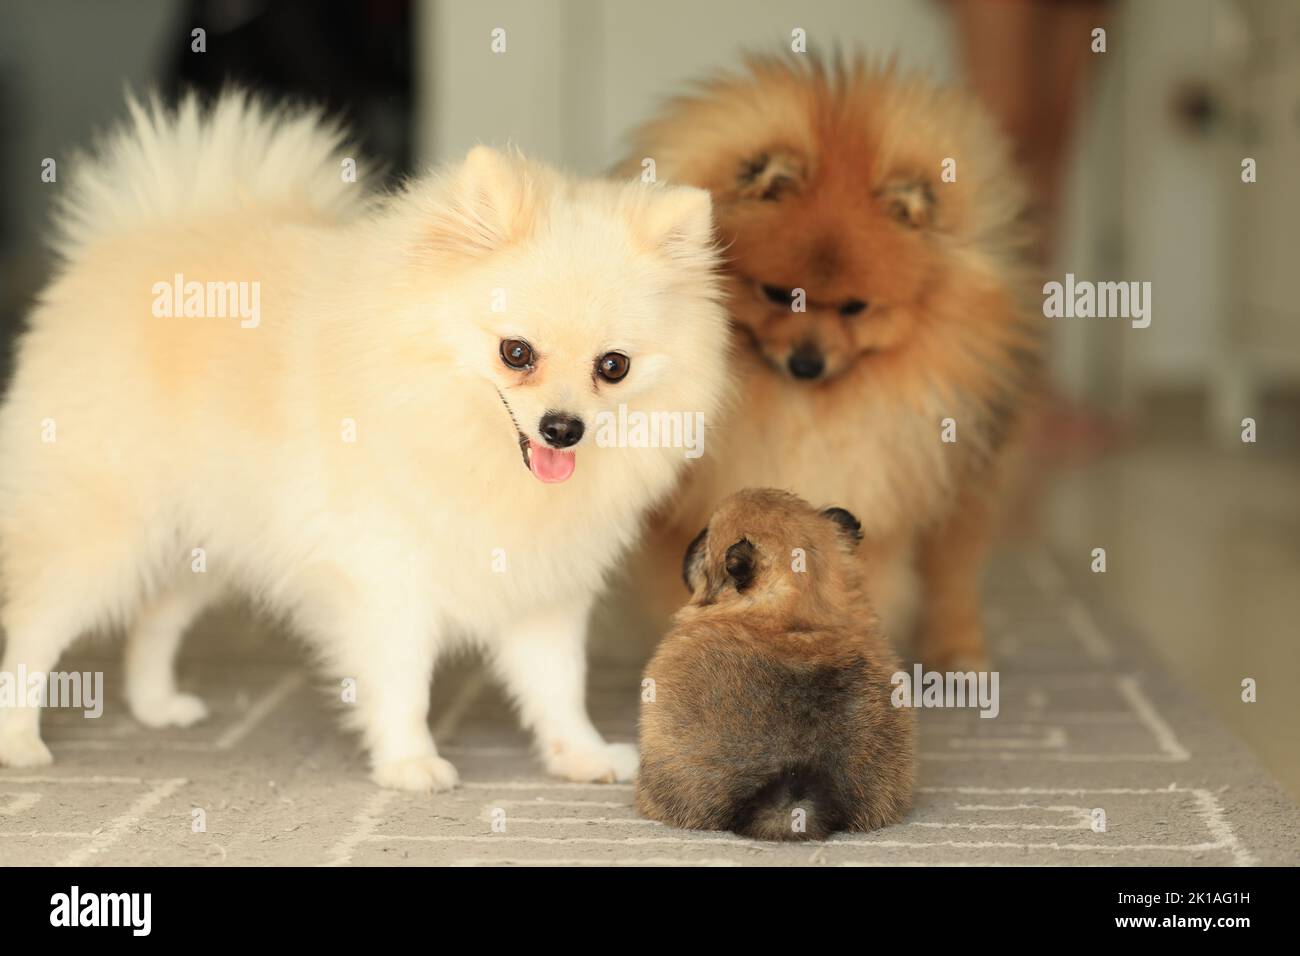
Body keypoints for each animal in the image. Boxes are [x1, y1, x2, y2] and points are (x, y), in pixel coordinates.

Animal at [0, 91, 733, 790]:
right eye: (516, 352)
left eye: (614, 366)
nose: (562, 427)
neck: (472, 447)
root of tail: (131, 236)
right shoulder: (387, 576)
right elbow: (404, 683)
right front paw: (410, 763)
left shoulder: (544, 588)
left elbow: (559, 685)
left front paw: (580, 755)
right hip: (105, 534)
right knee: (34, 630)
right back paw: (19, 741)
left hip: (206, 539)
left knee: (155, 618)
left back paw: (157, 704)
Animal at [621, 55, 1045, 671]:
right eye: (777, 294)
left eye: (855, 307)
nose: (807, 363)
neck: (802, 409)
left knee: (953, 576)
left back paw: (960, 653)